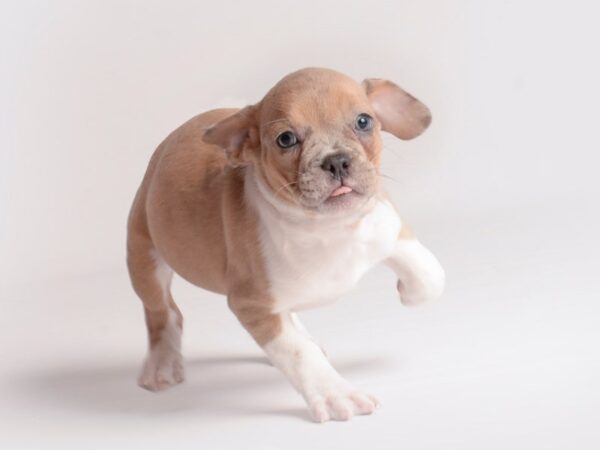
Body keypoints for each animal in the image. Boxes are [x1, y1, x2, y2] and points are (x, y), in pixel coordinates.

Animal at [126, 67, 446, 422]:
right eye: (286, 139)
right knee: (163, 312)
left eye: (364, 121)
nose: (336, 160)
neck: (329, 228)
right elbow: (297, 352)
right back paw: (162, 364)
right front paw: (336, 394)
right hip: (144, 256)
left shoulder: (384, 222)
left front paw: (410, 292)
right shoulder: (253, 305)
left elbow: (432, 274)